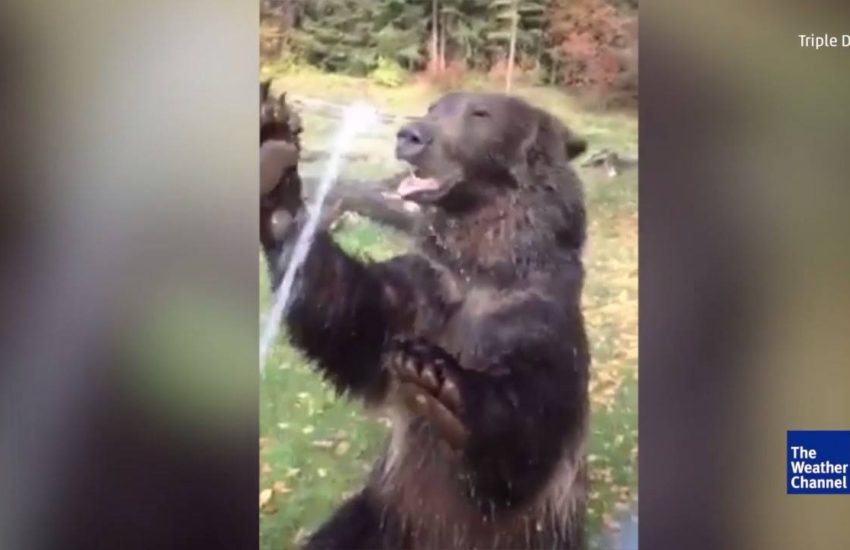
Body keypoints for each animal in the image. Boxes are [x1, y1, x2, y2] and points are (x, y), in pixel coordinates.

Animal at [265, 92, 591, 549]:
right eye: (436, 106)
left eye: (481, 113)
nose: (411, 135)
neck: (482, 269)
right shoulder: (426, 289)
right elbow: (355, 315)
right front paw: (277, 175)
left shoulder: (538, 313)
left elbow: (530, 417)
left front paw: (438, 379)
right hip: (384, 516)